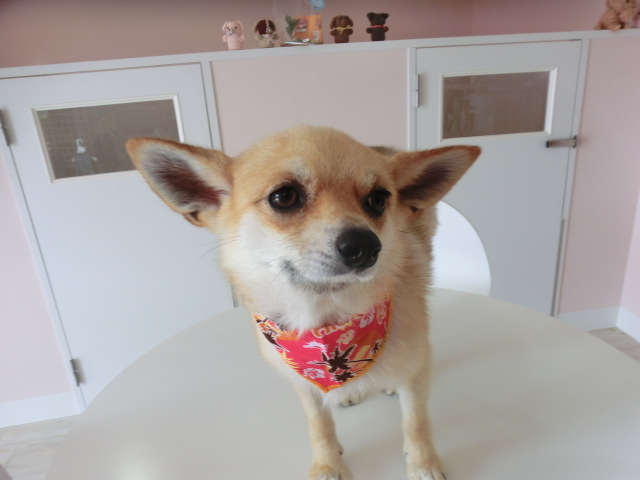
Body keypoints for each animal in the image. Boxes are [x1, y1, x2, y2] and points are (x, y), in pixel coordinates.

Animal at [127, 126, 479, 480]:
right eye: (284, 196)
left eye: (378, 200)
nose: (366, 244)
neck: (325, 320)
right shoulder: (303, 382)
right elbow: (318, 424)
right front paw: (328, 464)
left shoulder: (416, 370)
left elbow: (416, 421)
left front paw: (423, 463)